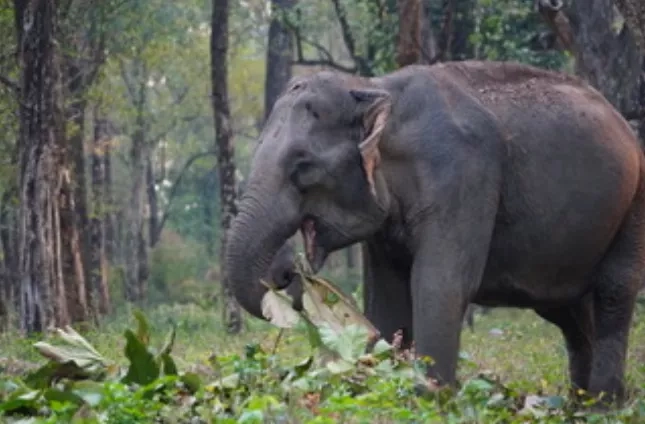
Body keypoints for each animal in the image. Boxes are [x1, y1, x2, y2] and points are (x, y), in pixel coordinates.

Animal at [225, 58, 644, 404]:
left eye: (303, 166)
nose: (286, 268)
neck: (375, 89)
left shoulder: (464, 175)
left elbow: (440, 284)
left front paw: (432, 399)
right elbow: (388, 297)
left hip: (635, 200)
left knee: (612, 291)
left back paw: (605, 404)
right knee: (566, 310)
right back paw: (580, 404)